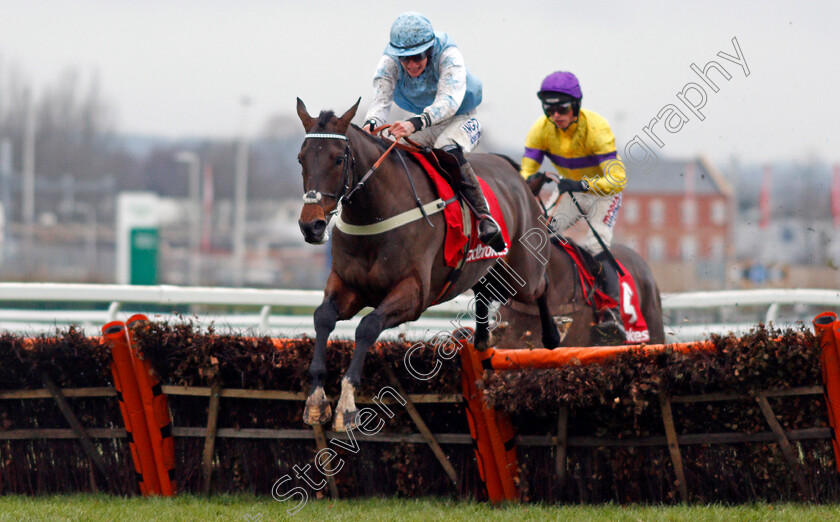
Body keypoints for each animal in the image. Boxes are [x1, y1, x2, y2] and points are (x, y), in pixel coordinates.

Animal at [294, 98, 556, 430]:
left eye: (339, 159)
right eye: (301, 159)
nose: (311, 226)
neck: (376, 214)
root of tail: (513, 172)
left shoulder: (414, 292)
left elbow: (368, 326)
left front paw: (347, 405)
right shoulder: (347, 283)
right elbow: (323, 317)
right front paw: (316, 400)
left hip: (520, 273)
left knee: (541, 286)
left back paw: (551, 337)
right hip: (487, 270)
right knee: (484, 297)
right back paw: (483, 343)